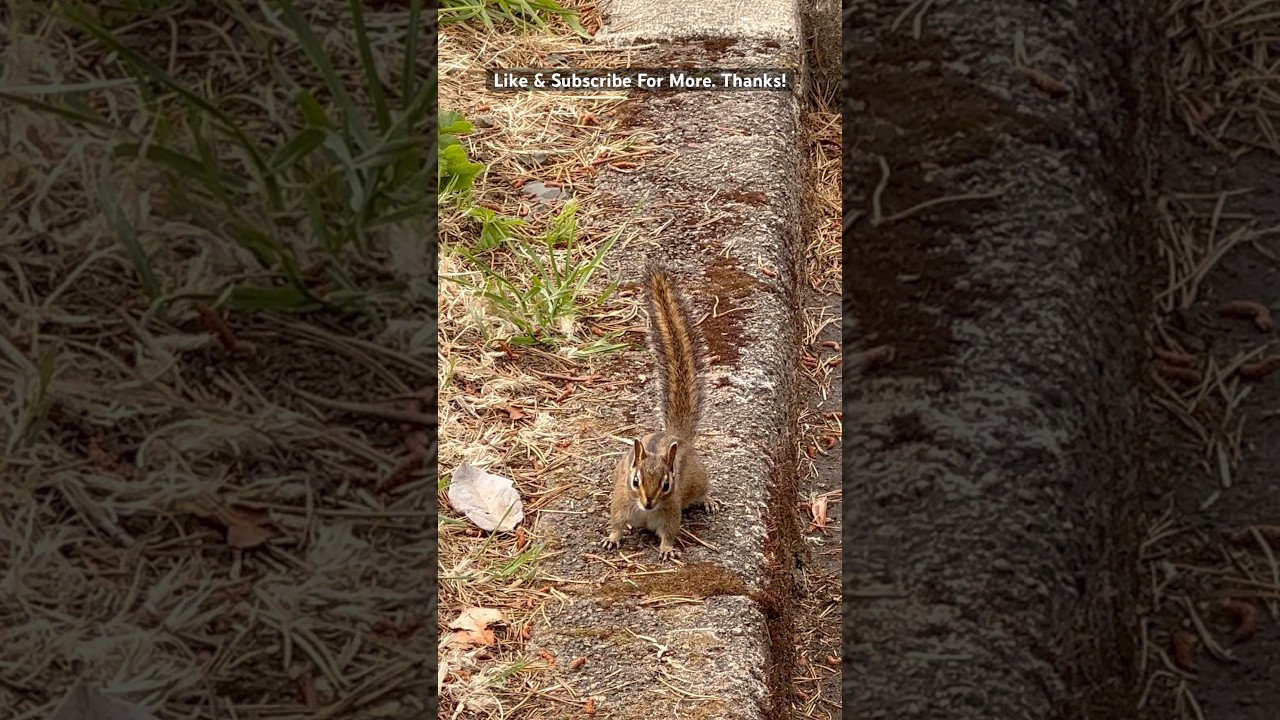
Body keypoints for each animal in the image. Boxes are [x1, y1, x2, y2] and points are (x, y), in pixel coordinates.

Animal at [601, 262, 716, 560]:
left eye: (666, 484)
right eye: (635, 480)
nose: (649, 502)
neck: (644, 512)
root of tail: (676, 435)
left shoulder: (670, 513)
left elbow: (669, 532)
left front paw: (666, 549)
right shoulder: (620, 504)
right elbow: (616, 524)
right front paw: (612, 538)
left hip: (698, 478)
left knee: (702, 489)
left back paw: (708, 500)